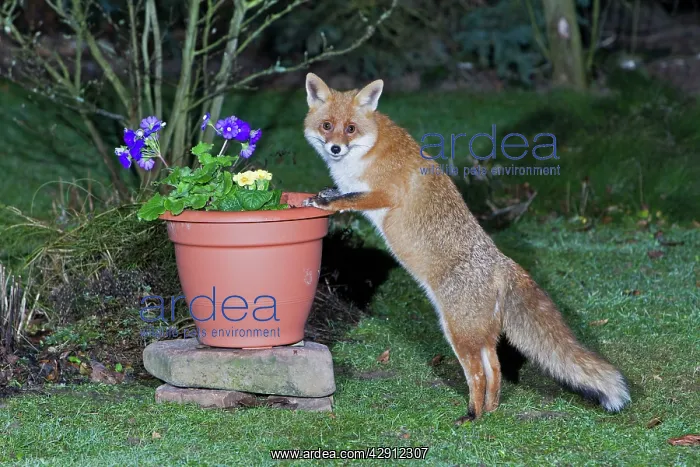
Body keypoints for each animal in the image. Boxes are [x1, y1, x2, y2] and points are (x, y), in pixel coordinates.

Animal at [300, 73, 631, 421]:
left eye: (350, 128)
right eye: (327, 126)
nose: (336, 147)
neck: (369, 149)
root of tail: (504, 263)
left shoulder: (385, 194)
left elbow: (346, 199)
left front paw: (324, 202)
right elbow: (340, 193)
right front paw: (320, 195)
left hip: (458, 332)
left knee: (477, 374)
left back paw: (473, 414)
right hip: (480, 334)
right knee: (496, 368)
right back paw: (491, 412)